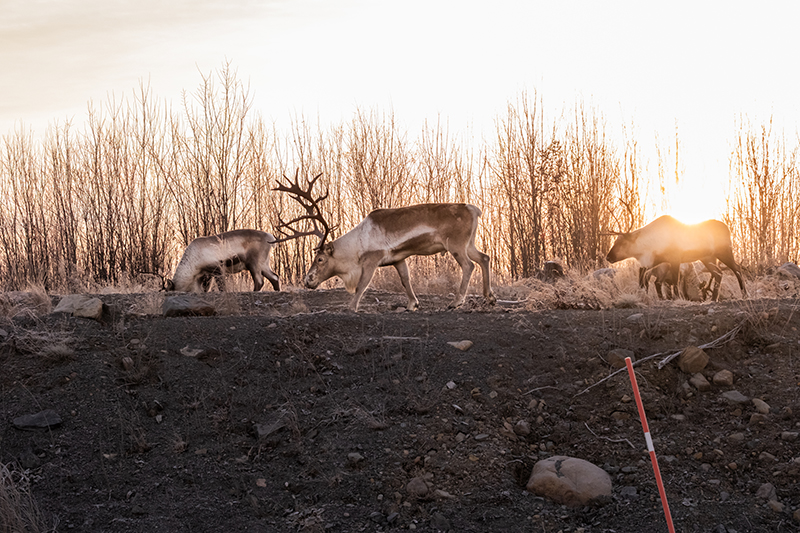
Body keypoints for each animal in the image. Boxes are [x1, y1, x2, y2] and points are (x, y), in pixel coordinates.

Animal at [274, 172, 496, 312]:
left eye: (320, 259)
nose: (307, 280)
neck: (356, 246)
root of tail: (474, 209)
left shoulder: (372, 259)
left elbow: (362, 285)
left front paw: (351, 307)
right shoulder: (398, 258)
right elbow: (405, 280)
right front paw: (413, 304)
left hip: (456, 244)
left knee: (469, 265)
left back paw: (456, 302)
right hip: (469, 243)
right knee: (484, 258)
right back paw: (490, 297)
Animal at [606, 215, 746, 301]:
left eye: (623, 243)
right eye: (615, 241)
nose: (608, 257)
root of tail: (727, 228)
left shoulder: (675, 259)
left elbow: (675, 281)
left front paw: (678, 298)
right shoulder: (656, 261)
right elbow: (646, 277)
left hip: (724, 252)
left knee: (737, 268)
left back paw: (744, 294)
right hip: (708, 258)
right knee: (719, 273)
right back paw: (714, 298)